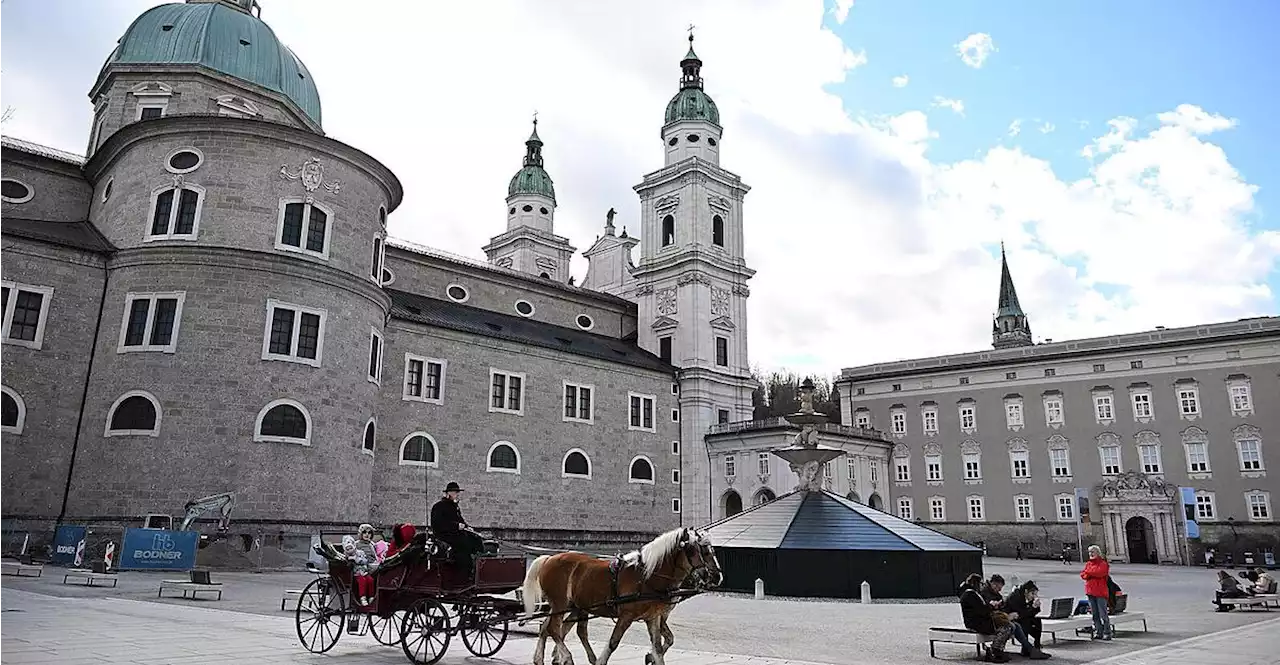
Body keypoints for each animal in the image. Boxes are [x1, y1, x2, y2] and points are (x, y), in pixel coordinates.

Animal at [519, 529, 721, 665]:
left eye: (711, 550)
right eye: (700, 550)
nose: (717, 576)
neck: (646, 576)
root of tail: (548, 558)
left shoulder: (653, 617)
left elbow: (658, 647)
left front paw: (652, 657)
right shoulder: (627, 616)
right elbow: (613, 642)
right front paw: (600, 660)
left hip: (569, 605)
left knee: (550, 627)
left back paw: (542, 658)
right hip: (561, 603)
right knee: (554, 628)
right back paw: (566, 657)